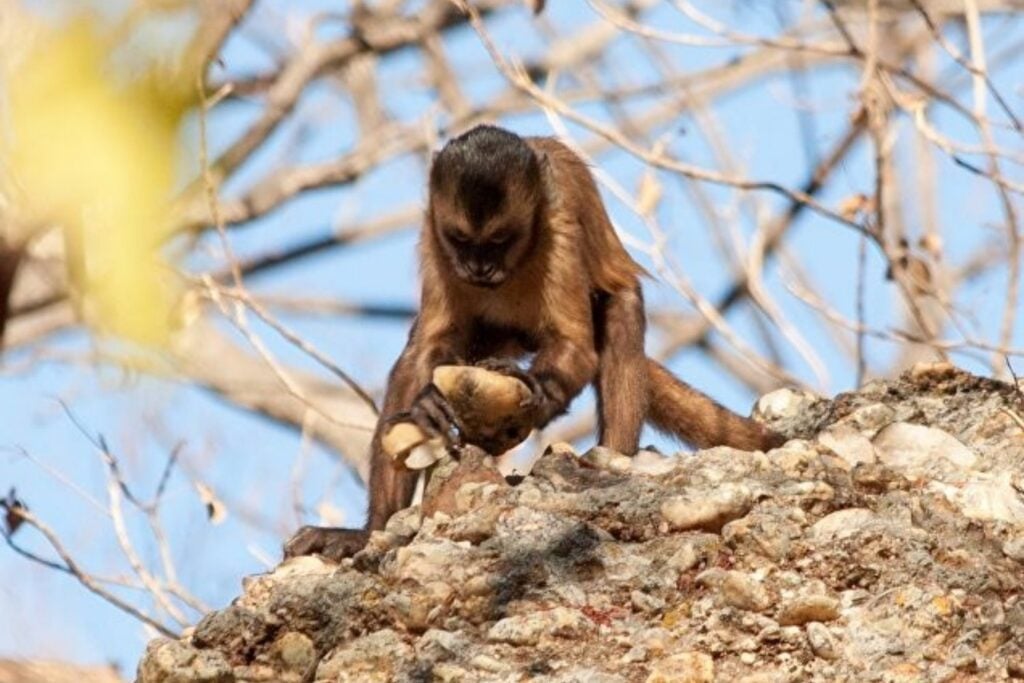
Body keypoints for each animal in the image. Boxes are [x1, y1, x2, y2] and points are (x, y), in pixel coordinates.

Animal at [284, 125, 784, 561]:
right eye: (461, 240)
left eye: (499, 241)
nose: (479, 268)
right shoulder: (433, 231)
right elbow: (426, 350)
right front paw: (428, 405)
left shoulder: (559, 223)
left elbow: (576, 345)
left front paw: (536, 392)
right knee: (418, 356)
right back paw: (371, 531)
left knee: (620, 310)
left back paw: (613, 457)